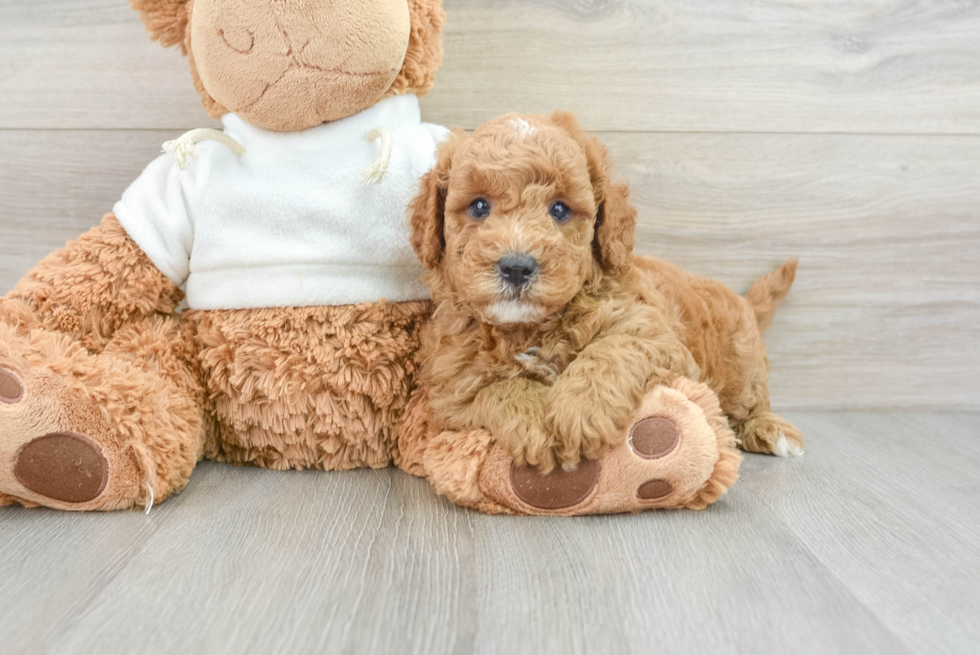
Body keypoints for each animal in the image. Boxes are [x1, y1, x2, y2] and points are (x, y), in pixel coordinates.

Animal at [410, 111, 800, 472]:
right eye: (479, 206)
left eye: (560, 209)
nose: (517, 266)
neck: (528, 328)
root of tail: (742, 300)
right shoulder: (452, 391)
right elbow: (497, 389)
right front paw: (535, 423)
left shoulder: (656, 334)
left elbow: (613, 348)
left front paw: (580, 411)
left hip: (742, 367)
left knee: (749, 403)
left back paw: (774, 431)